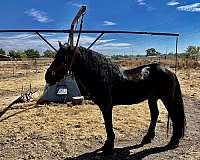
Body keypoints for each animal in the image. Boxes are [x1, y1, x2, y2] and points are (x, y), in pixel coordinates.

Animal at [45, 42, 186, 154]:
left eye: (63, 58)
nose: (48, 77)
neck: (102, 75)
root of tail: (169, 71)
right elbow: (107, 124)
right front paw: (108, 145)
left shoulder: (106, 106)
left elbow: (108, 125)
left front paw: (108, 147)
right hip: (152, 98)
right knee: (155, 114)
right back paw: (147, 138)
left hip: (166, 98)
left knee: (174, 115)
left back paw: (174, 140)